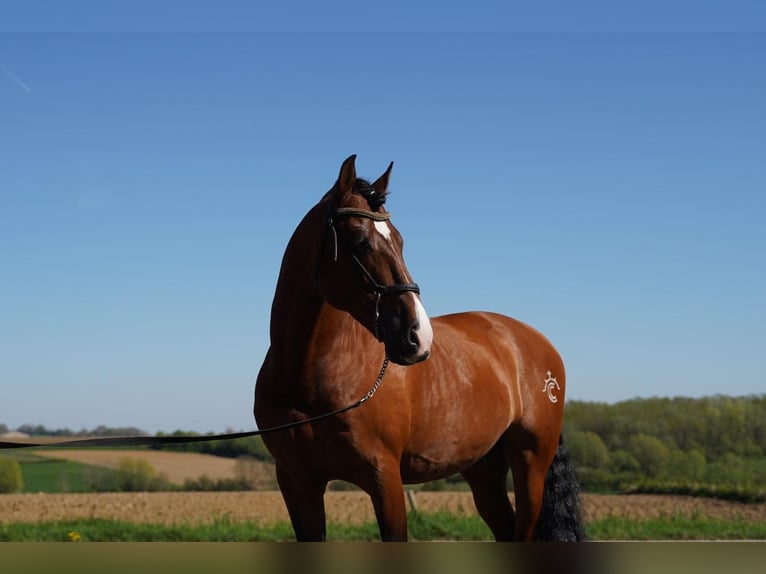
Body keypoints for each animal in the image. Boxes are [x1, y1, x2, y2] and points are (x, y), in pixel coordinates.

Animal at [255, 155, 584, 544]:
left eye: (399, 241)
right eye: (358, 241)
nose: (418, 335)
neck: (310, 378)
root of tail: (537, 343)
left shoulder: (385, 479)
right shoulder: (297, 483)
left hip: (531, 464)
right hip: (484, 471)